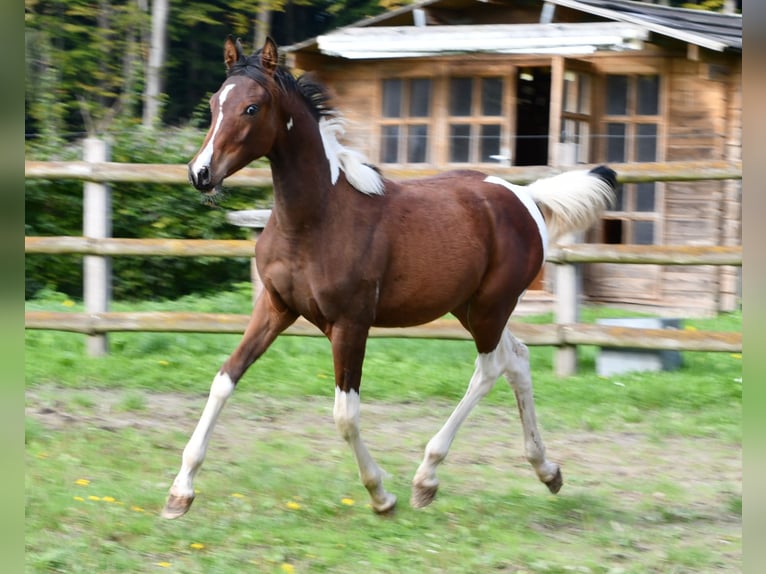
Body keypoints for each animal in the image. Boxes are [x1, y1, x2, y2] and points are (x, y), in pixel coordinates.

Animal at [161, 36, 616, 519]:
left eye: (252, 107)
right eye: (215, 103)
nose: (200, 173)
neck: (315, 219)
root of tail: (524, 195)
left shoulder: (350, 324)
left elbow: (345, 414)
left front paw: (381, 495)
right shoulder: (275, 307)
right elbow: (224, 379)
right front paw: (180, 492)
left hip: (491, 306)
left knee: (490, 367)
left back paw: (427, 477)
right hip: (470, 307)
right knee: (519, 358)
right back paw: (547, 470)